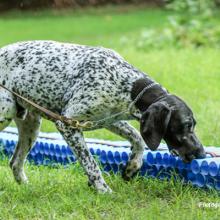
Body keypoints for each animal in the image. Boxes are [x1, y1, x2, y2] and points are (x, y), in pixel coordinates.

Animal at [0, 40, 206, 192]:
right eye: (186, 125)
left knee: (15, 163)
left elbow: (138, 138)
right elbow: (90, 163)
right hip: (6, 114)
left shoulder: (110, 120)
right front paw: (102, 188)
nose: (202, 154)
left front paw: (132, 167)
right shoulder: (67, 124)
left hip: (31, 126)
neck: (127, 84)